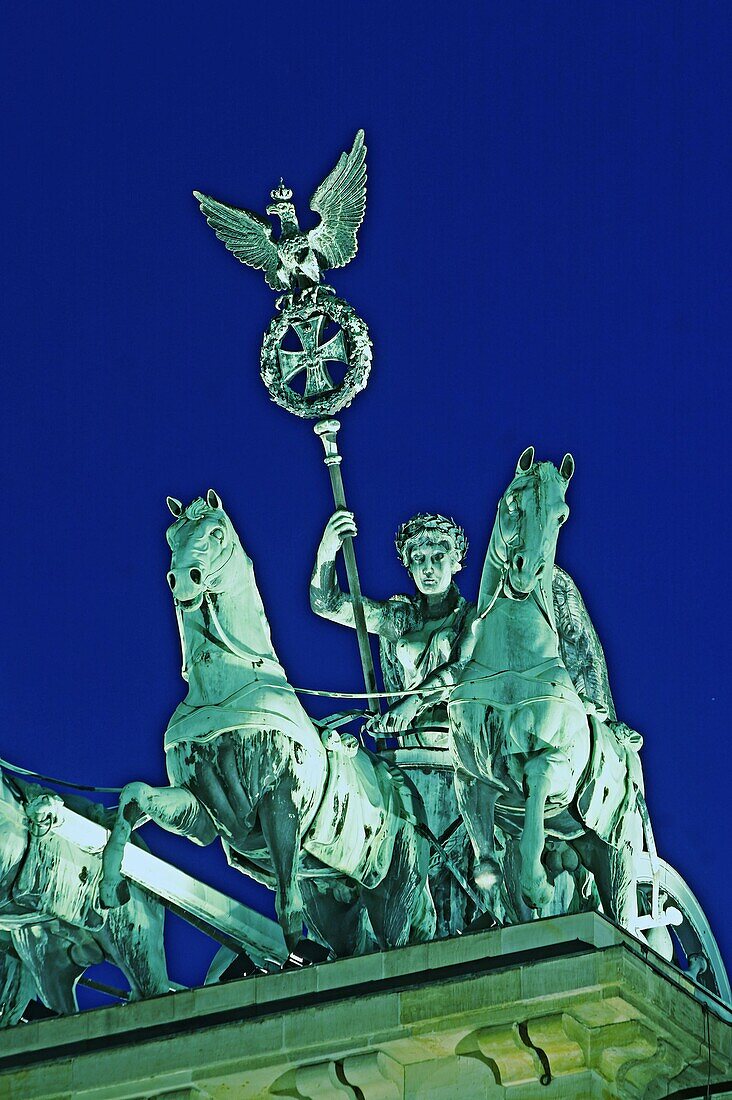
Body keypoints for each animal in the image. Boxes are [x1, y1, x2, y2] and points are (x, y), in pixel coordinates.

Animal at [101, 490, 433, 954]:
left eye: (216, 532)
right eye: (170, 535)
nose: (184, 578)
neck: (223, 689)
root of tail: (405, 792)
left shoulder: (282, 800)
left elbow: (285, 900)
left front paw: (293, 948)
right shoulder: (202, 811)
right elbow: (134, 795)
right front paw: (109, 883)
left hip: (396, 887)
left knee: (401, 934)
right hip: (334, 897)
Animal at [449, 446, 647, 928]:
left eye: (562, 515)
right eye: (514, 500)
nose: (525, 571)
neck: (513, 664)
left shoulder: (555, 763)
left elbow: (537, 781)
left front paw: (537, 885)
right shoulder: (470, 781)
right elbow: (489, 868)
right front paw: (511, 902)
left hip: (617, 854)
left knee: (625, 912)